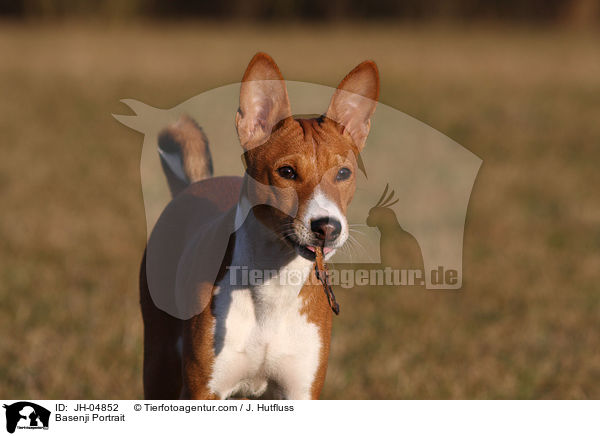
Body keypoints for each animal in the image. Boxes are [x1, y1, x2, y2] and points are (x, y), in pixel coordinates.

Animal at [138, 52, 378, 400]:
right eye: (287, 172)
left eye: (344, 173)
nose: (327, 226)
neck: (273, 288)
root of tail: (192, 185)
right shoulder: (203, 391)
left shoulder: (300, 392)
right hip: (159, 364)